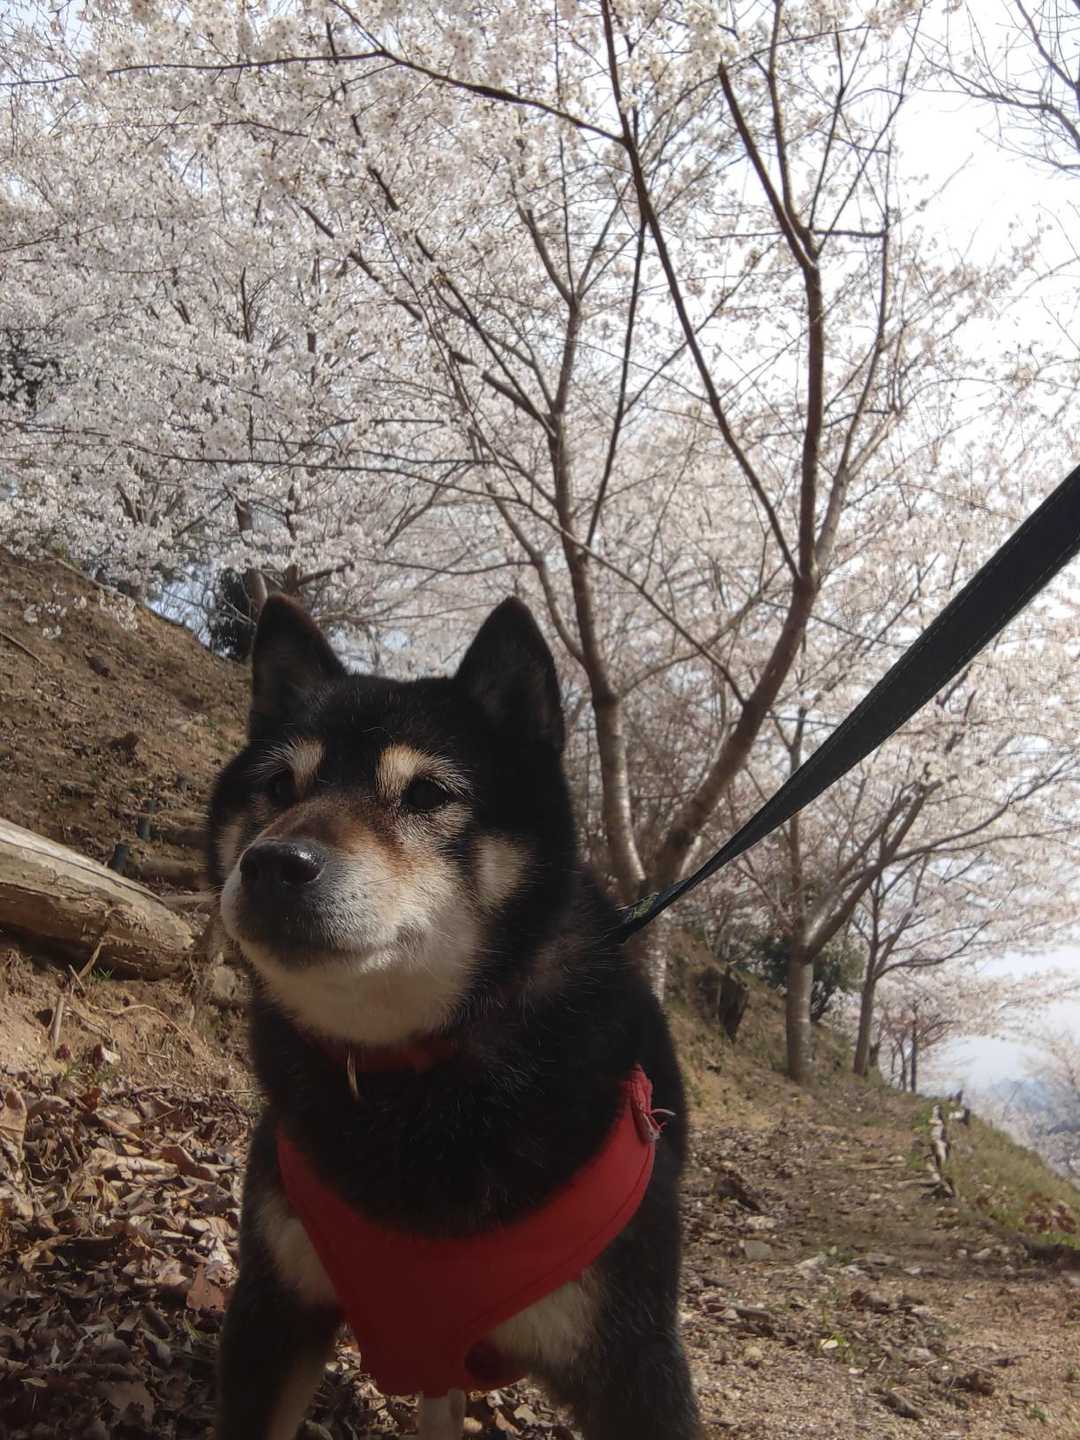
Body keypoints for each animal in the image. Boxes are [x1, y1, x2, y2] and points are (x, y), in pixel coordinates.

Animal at [208, 594, 701, 1440]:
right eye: (278, 784)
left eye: (427, 796)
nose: (272, 865)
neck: (412, 1075)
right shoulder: (274, 1309)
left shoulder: (635, 1368)